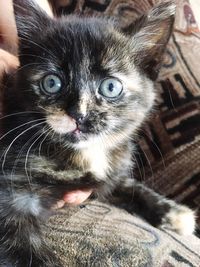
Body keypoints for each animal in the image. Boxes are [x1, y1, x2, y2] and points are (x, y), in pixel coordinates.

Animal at [0, 0, 195, 266]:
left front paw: (174, 213)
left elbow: (130, 186)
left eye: (110, 87)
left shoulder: (110, 175)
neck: (85, 153)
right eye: (52, 83)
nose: (79, 114)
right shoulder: (11, 194)